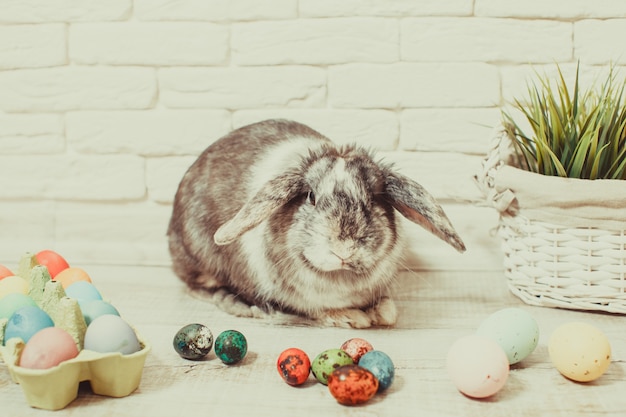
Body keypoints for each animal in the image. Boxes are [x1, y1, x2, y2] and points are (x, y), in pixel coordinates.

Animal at [167, 118, 464, 326]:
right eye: (311, 196)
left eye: (373, 199)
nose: (343, 249)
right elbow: (319, 311)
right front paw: (354, 318)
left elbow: (389, 311)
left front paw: (384, 312)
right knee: (197, 286)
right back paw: (240, 304)